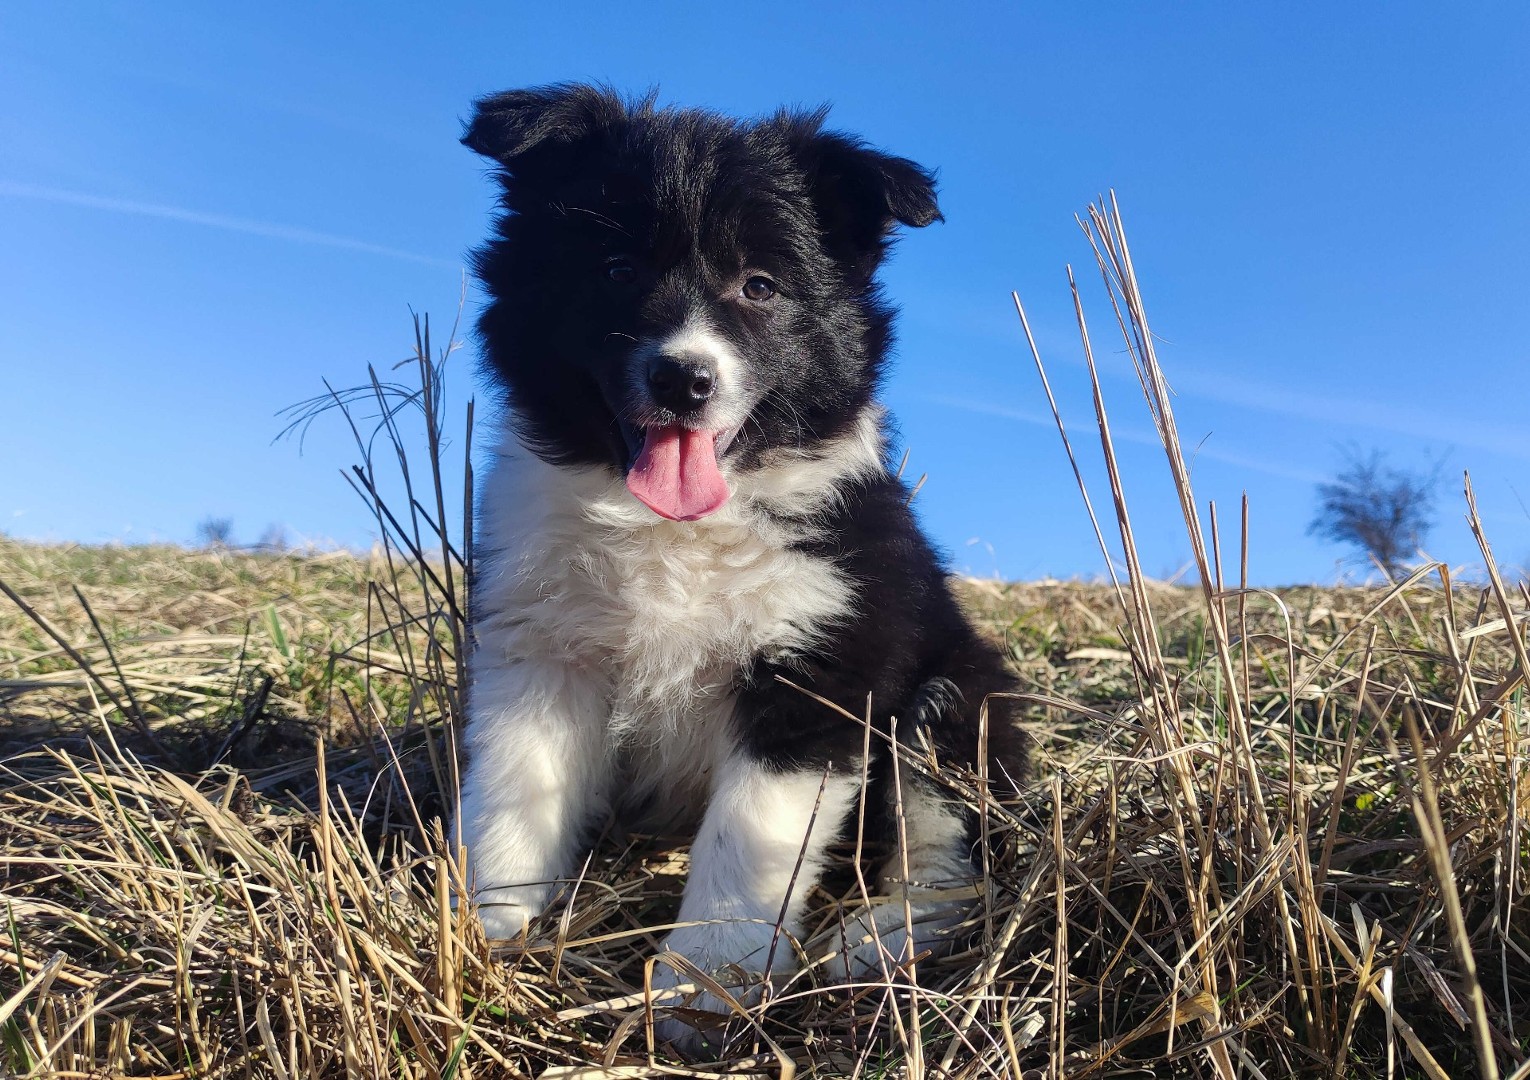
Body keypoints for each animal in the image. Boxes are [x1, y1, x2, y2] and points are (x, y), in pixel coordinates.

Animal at [452, 86, 1028, 1052]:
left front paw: (701, 994)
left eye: (760, 286)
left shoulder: (817, 669)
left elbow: (746, 843)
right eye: (615, 269)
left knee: (954, 866)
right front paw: (487, 934)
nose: (683, 379)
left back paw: (865, 947)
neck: (678, 528)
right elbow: (515, 797)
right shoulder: (541, 650)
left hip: (954, 705)